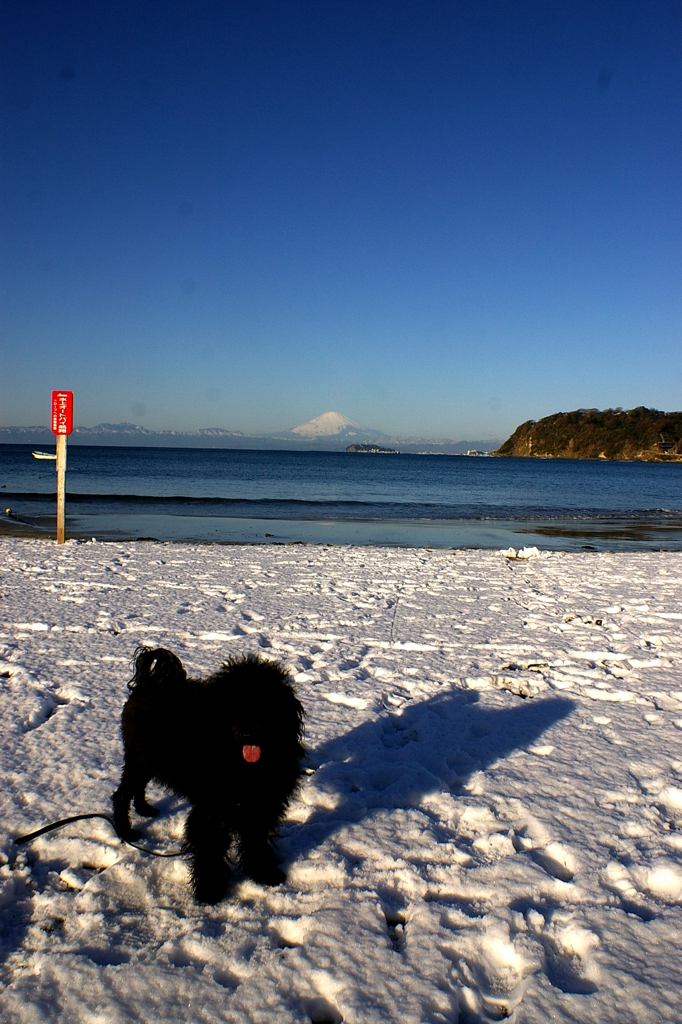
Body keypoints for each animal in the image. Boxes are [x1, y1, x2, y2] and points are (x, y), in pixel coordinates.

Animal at [112, 647, 303, 905]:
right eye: (233, 702)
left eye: (265, 701)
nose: (248, 729)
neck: (242, 765)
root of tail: (148, 683)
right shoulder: (213, 809)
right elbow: (210, 848)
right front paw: (209, 890)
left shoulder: (260, 805)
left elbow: (256, 841)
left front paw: (264, 874)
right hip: (138, 758)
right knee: (121, 794)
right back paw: (126, 830)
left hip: (147, 760)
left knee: (137, 788)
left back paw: (145, 809)